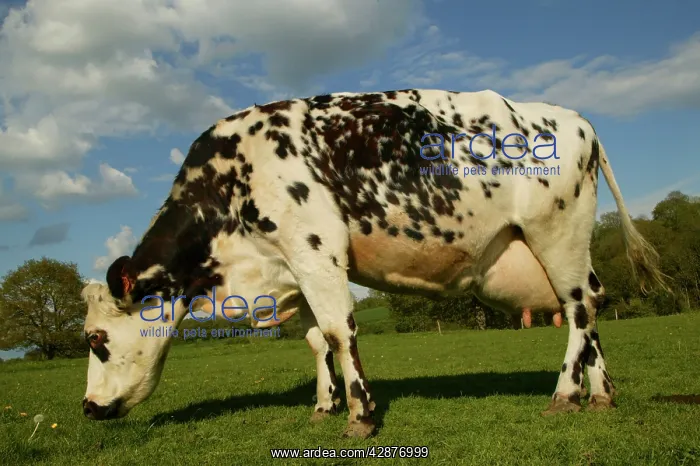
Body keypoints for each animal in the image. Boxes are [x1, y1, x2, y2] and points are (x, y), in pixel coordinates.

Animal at [80, 88, 669, 439]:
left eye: (96, 339)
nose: (87, 407)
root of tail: (576, 119)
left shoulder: (314, 247)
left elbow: (339, 333)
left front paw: (360, 415)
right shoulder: (293, 266)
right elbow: (316, 339)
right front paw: (324, 405)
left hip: (556, 231)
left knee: (580, 308)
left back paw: (566, 395)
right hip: (568, 245)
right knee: (591, 305)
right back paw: (601, 394)